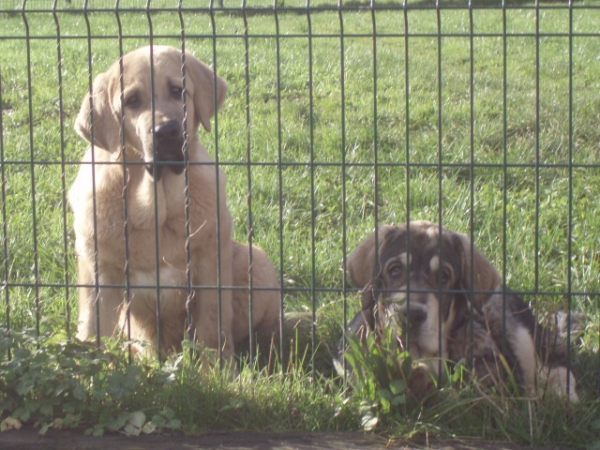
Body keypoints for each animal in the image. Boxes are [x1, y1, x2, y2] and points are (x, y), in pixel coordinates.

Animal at [69, 45, 280, 360]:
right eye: (131, 100)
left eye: (177, 91)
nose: (166, 132)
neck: (156, 209)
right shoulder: (100, 273)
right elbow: (93, 334)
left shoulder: (209, 265)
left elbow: (211, 331)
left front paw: (216, 370)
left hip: (256, 260)